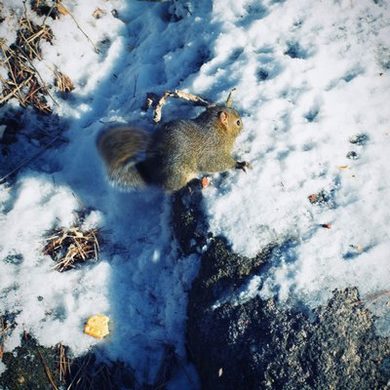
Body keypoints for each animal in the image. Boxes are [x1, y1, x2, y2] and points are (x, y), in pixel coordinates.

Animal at [97, 95, 250, 193]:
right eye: (237, 122)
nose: (244, 126)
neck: (216, 131)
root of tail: (152, 176)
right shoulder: (211, 151)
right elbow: (215, 163)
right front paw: (238, 164)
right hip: (177, 173)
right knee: (172, 189)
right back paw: (195, 183)